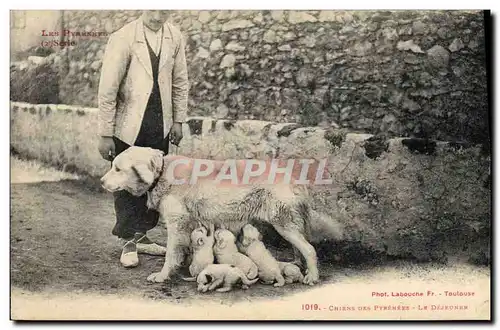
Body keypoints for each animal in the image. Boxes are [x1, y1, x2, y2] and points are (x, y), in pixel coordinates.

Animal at [101, 146, 344, 284]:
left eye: (118, 169)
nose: (102, 182)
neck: (161, 173)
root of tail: (294, 177)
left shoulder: (176, 224)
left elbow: (171, 254)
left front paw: (162, 276)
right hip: (287, 225)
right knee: (299, 248)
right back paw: (296, 266)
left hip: (284, 224)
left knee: (309, 249)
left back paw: (312, 276)